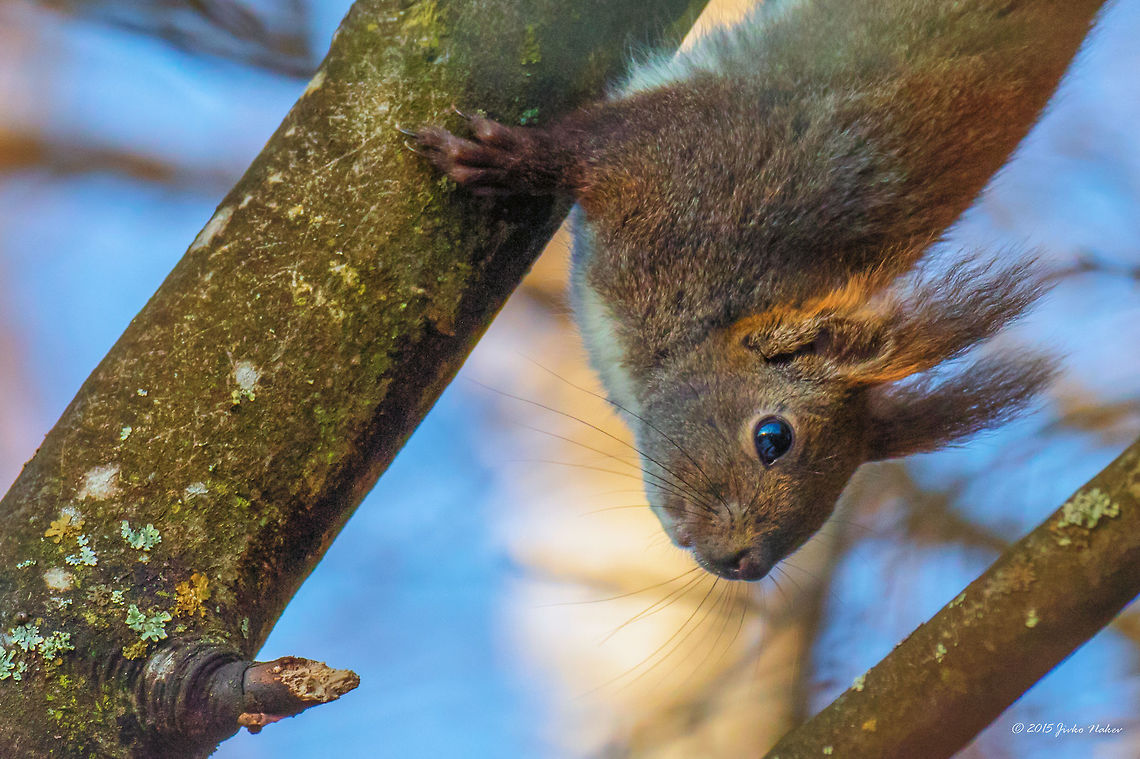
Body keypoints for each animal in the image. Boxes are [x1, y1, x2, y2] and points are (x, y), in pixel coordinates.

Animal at [414, 0, 1110, 581]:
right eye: (773, 439)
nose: (745, 566)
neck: (720, 305)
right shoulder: (691, 158)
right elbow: (586, 147)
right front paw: (509, 160)